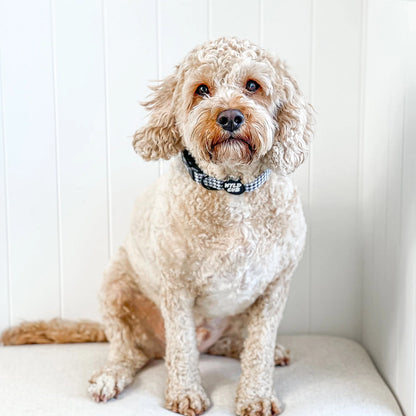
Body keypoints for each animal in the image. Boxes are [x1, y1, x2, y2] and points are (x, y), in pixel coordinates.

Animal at [0, 36, 312, 416]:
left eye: (253, 86)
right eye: (201, 90)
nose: (230, 116)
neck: (231, 189)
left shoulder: (274, 289)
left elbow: (259, 349)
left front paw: (256, 396)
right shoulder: (176, 289)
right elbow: (181, 347)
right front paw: (186, 393)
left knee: (230, 343)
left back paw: (253, 349)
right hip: (115, 286)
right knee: (129, 351)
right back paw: (112, 376)